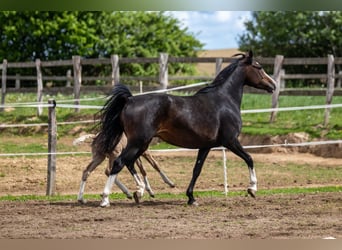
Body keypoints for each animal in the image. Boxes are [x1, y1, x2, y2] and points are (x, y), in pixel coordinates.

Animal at [95, 49, 276, 206]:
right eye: (259, 67)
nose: (273, 85)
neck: (224, 101)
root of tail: (129, 100)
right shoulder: (230, 141)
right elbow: (249, 158)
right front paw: (252, 188)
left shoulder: (205, 146)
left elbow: (197, 170)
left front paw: (191, 198)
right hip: (138, 142)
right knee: (119, 163)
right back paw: (106, 199)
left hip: (142, 144)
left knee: (130, 162)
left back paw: (139, 192)